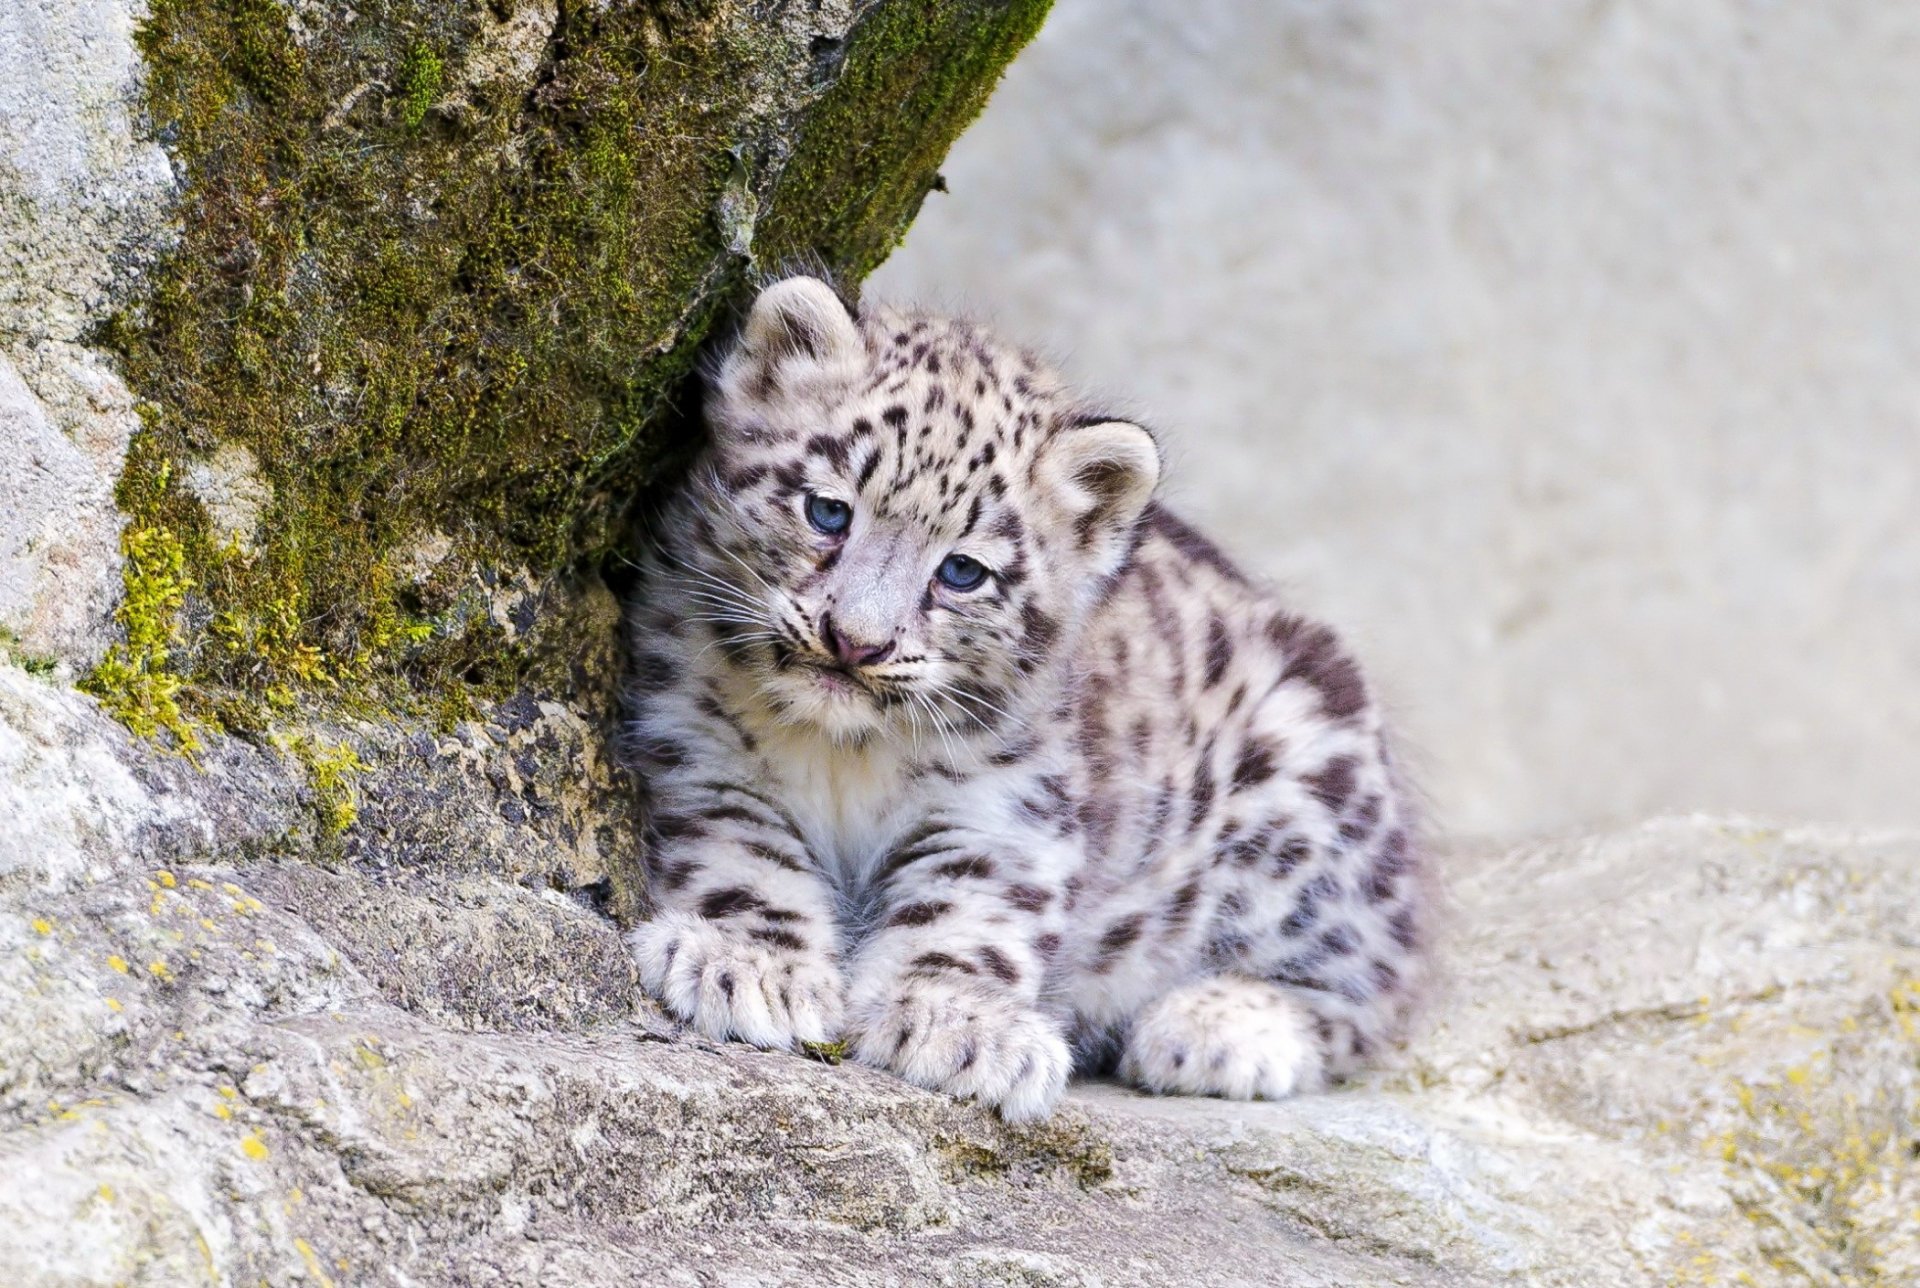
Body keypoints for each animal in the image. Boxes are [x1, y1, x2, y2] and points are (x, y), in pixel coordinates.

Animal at [622, 275, 1429, 1121]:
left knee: (1375, 978)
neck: (843, 752)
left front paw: (956, 1025)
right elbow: (746, 855)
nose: (855, 642)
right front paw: (748, 965)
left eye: (963, 571)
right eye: (827, 511)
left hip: (1307, 792)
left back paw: (1218, 1029)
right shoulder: (699, 746)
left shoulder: (1002, 809)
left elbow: (967, 912)